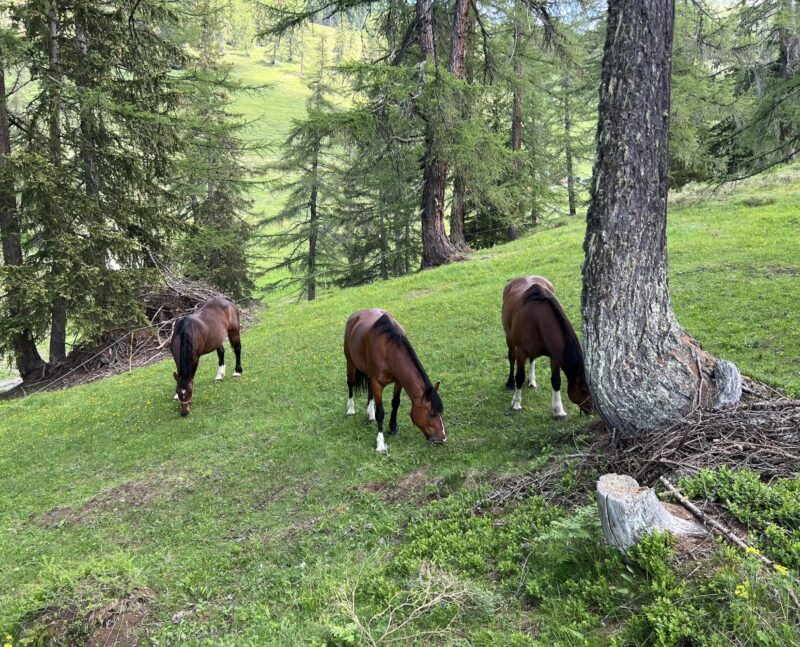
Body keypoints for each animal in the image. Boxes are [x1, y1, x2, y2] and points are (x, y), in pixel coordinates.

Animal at [344, 308, 446, 453]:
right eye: (431, 414)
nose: (442, 438)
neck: (388, 350)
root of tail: (355, 315)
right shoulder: (377, 384)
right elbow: (380, 413)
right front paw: (380, 443)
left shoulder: (399, 381)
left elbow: (395, 403)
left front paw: (393, 427)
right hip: (350, 362)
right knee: (350, 384)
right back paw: (351, 410)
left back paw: (370, 413)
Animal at [502, 276, 593, 419]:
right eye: (583, 389)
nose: (593, 410)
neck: (537, 319)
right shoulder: (521, 351)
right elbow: (520, 376)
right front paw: (516, 403)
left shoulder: (554, 355)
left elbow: (556, 381)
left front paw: (559, 410)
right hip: (509, 339)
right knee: (512, 358)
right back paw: (510, 383)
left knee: (532, 359)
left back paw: (532, 381)